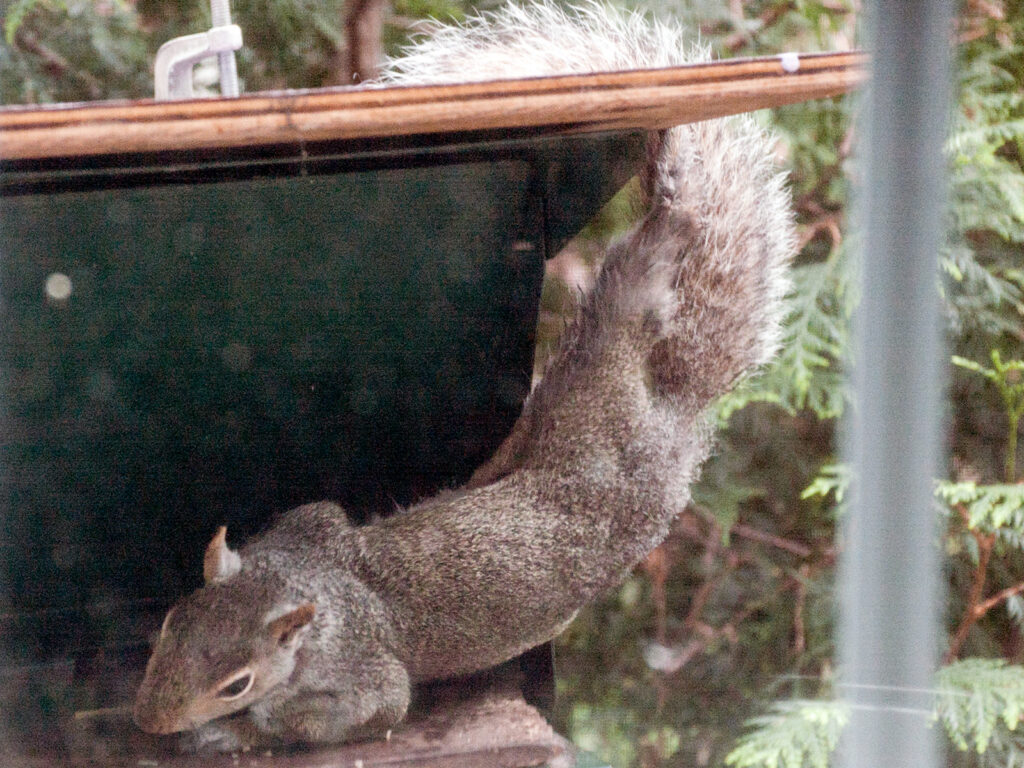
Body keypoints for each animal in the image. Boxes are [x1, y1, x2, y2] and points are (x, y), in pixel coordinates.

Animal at [130, 3, 798, 753]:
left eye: (236, 683)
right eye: (173, 621)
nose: (145, 719)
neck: (321, 592)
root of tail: (674, 416)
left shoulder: (364, 672)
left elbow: (372, 710)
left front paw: (240, 733)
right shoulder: (312, 529)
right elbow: (323, 512)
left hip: (595, 408)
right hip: (578, 384)